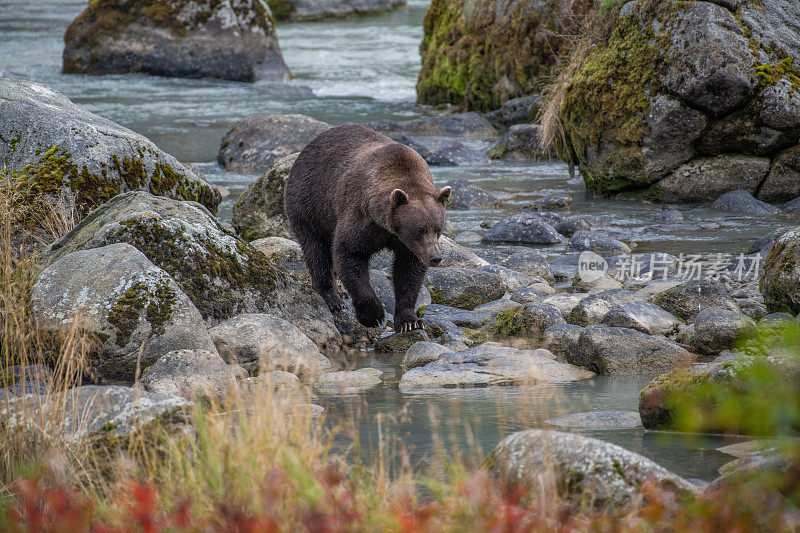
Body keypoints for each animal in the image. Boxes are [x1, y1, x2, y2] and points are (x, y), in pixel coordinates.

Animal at [286, 126, 450, 330]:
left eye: (438, 229)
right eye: (419, 230)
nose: (435, 257)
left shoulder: (406, 244)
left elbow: (408, 272)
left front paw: (409, 321)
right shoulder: (361, 218)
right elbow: (350, 254)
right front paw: (373, 315)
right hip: (310, 206)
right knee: (316, 250)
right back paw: (332, 297)